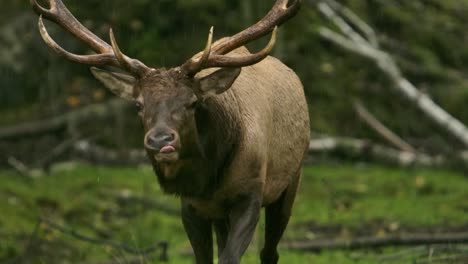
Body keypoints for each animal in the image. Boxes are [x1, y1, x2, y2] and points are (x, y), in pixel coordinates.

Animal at [33, 1, 310, 262]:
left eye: (192, 102)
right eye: (138, 104)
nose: (160, 140)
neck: (210, 180)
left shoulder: (250, 192)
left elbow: (230, 257)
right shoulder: (191, 205)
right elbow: (205, 258)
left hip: (290, 182)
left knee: (270, 252)